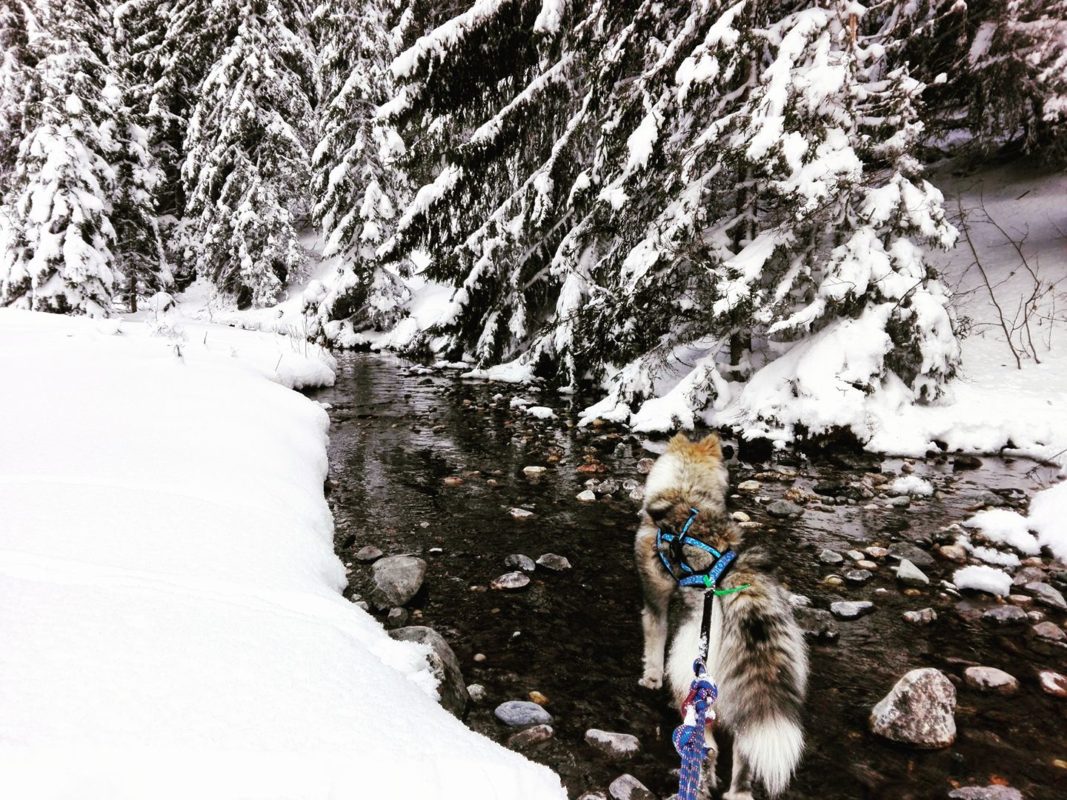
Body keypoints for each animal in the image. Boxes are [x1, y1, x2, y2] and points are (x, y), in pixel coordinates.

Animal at [635, 435, 802, 800]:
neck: (686, 489)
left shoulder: (655, 600)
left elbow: (653, 641)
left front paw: (650, 678)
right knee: (743, 757)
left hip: (690, 677)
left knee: (708, 746)